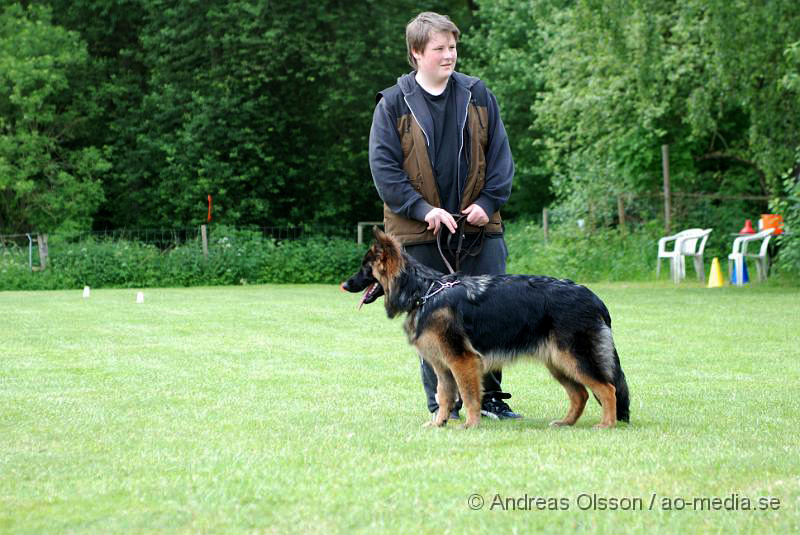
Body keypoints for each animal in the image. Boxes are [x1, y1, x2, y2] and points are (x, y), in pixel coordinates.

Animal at [344, 228, 632, 430]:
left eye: (364, 268)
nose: (345, 285)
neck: (424, 292)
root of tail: (593, 296)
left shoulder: (463, 361)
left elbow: (469, 395)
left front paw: (470, 424)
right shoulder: (441, 366)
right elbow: (444, 396)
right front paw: (439, 423)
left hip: (574, 358)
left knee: (607, 389)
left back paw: (607, 424)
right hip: (559, 362)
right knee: (581, 393)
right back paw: (566, 423)